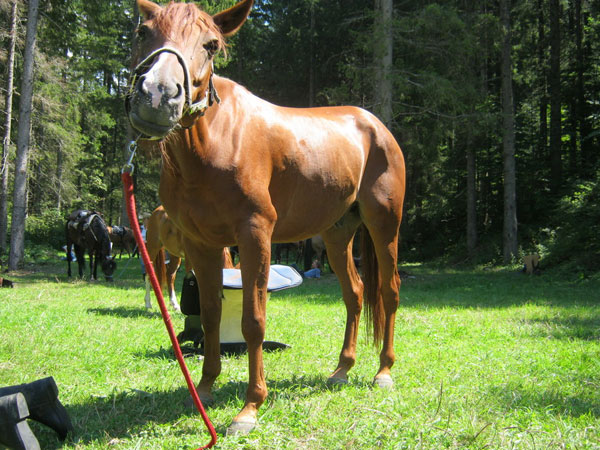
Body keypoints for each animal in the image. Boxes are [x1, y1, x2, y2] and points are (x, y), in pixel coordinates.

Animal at [127, 0, 408, 436]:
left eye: (211, 44)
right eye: (143, 32)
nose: (157, 96)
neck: (215, 141)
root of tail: (377, 126)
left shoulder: (255, 236)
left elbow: (253, 322)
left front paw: (249, 407)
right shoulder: (199, 243)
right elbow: (210, 316)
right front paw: (204, 389)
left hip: (383, 226)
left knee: (389, 292)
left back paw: (383, 372)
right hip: (336, 235)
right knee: (356, 294)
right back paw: (342, 369)